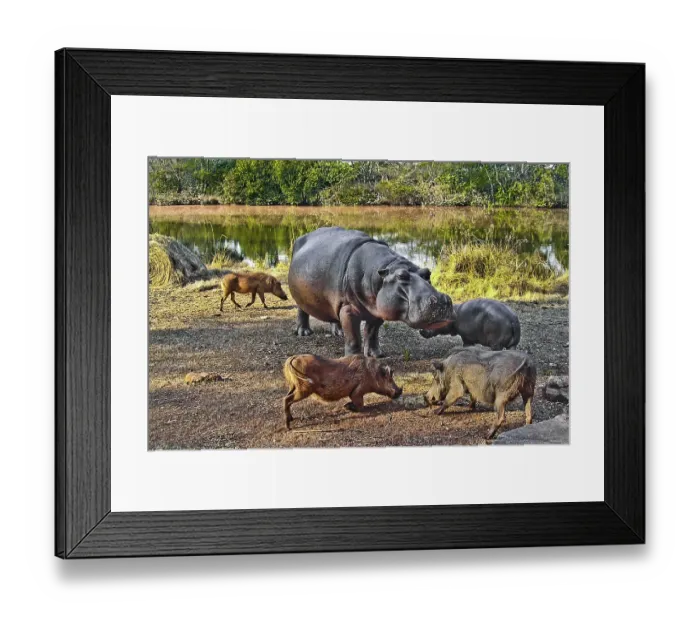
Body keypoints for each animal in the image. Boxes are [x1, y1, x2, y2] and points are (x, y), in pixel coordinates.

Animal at [288, 227, 454, 357]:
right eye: (401, 276)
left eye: (427, 273)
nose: (441, 300)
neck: (384, 269)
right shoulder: (349, 309)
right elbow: (354, 337)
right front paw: (355, 358)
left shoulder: (377, 310)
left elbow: (372, 333)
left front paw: (376, 355)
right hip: (301, 297)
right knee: (302, 310)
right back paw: (304, 332)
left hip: (333, 300)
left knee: (333, 315)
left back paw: (338, 333)